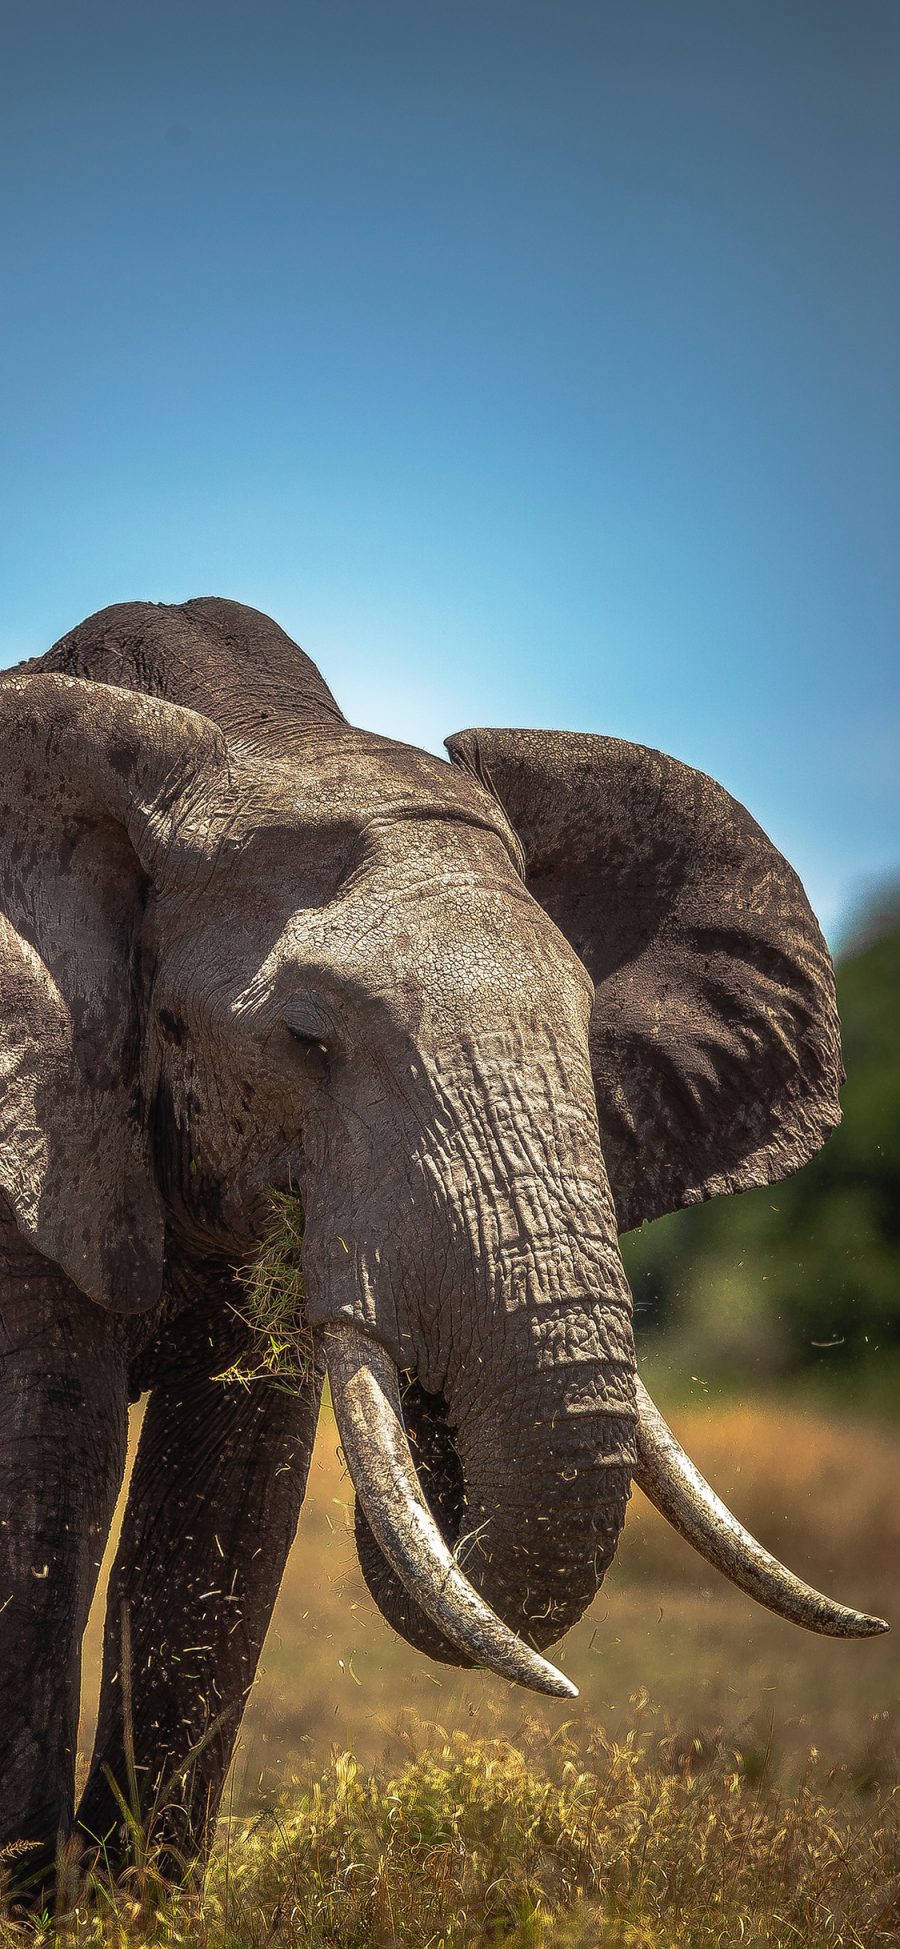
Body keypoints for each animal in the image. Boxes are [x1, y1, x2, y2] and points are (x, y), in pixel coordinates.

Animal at [0, 600, 884, 1894]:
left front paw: (136, 1905)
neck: (252, 733)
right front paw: (38, 1907)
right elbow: (48, 1484)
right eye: (307, 1039)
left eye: (588, 1025)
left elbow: (223, 1500)